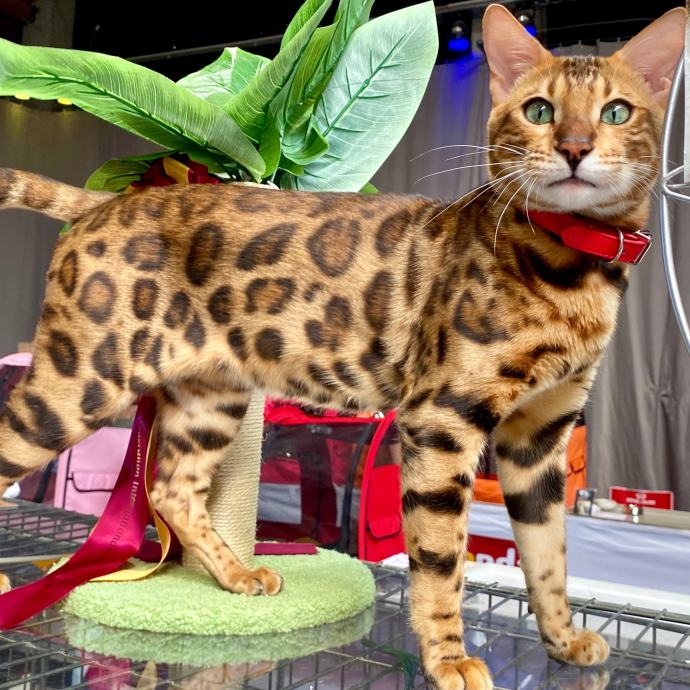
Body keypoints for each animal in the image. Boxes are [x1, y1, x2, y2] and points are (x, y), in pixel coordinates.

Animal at [0, 4, 685, 689]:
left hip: (210, 396)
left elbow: (549, 557)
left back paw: (238, 574)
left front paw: (563, 641)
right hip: (78, 381)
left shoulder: (539, 437)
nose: (574, 147)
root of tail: (104, 202)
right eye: (540, 109)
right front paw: (448, 658)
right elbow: (441, 558)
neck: (574, 271)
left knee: (173, 488)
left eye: (616, 111)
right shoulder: (442, 418)